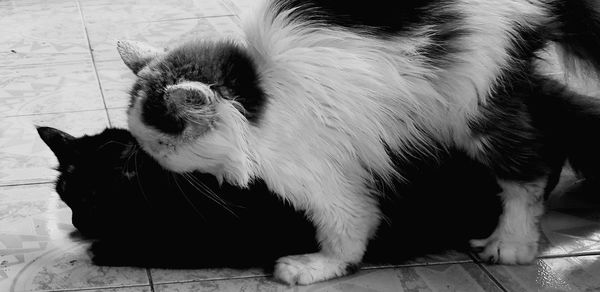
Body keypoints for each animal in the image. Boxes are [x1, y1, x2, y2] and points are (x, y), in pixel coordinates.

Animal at [37, 125, 506, 270]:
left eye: (93, 196)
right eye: (66, 196)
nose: (77, 223)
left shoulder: (224, 238)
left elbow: (151, 245)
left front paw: (105, 247)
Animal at [115, 0, 600, 284]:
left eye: (159, 144)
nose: (151, 159)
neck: (260, 92)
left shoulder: (314, 172)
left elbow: (350, 223)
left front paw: (319, 267)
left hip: (472, 103)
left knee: (529, 169)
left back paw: (512, 245)